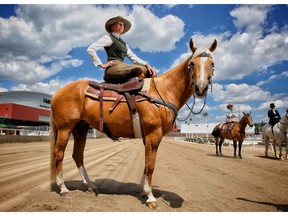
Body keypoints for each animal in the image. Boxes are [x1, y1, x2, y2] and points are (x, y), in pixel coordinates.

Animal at [49, 38, 217, 208]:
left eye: (212, 64)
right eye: (192, 63)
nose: (201, 88)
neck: (163, 91)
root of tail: (57, 93)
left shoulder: (150, 137)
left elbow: (146, 163)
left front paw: (143, 190)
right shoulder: (153, 135)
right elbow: (150, 165)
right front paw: (150, 196)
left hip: (80, 129)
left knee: (77, 155)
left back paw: (89, 185)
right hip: (65, 128)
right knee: (58, 154)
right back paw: (63, 188)